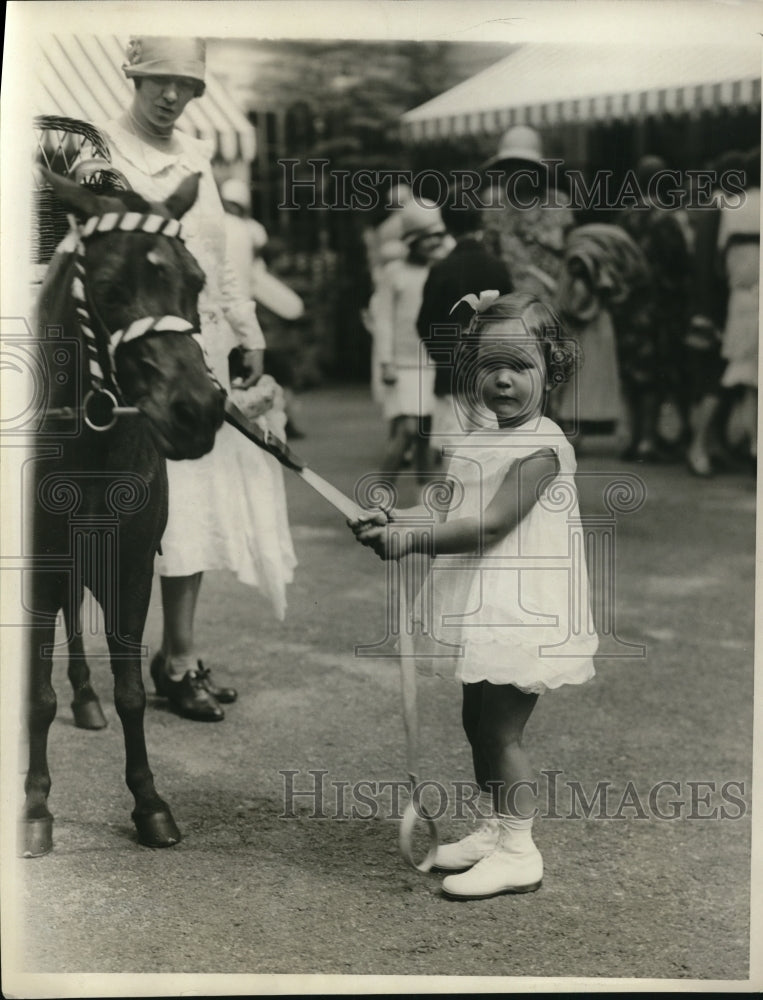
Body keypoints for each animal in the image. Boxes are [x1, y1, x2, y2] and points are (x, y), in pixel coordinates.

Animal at [20, 174, 224, 860]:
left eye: (196, 281)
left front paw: (150, 804)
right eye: (109, 288)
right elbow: (37, 694)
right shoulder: (40, 563)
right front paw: (35, 806)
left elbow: (132, 692)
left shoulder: (129, 564)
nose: (198, 411)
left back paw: (87, 699)